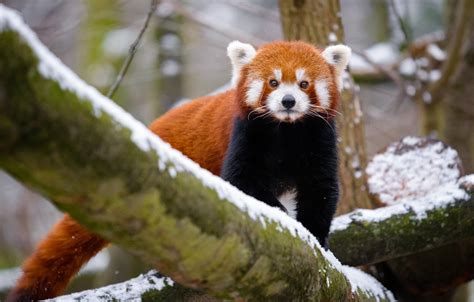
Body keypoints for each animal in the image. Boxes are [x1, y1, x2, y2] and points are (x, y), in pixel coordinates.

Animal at [5, 40, 350, 302]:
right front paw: (280, 213)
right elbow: (242, 182)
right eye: (273, 82)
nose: (288, 101)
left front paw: (317, 239)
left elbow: (321, 190)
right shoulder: (245, 135)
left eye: (304, 83)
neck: (285, 131)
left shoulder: (318, 139)